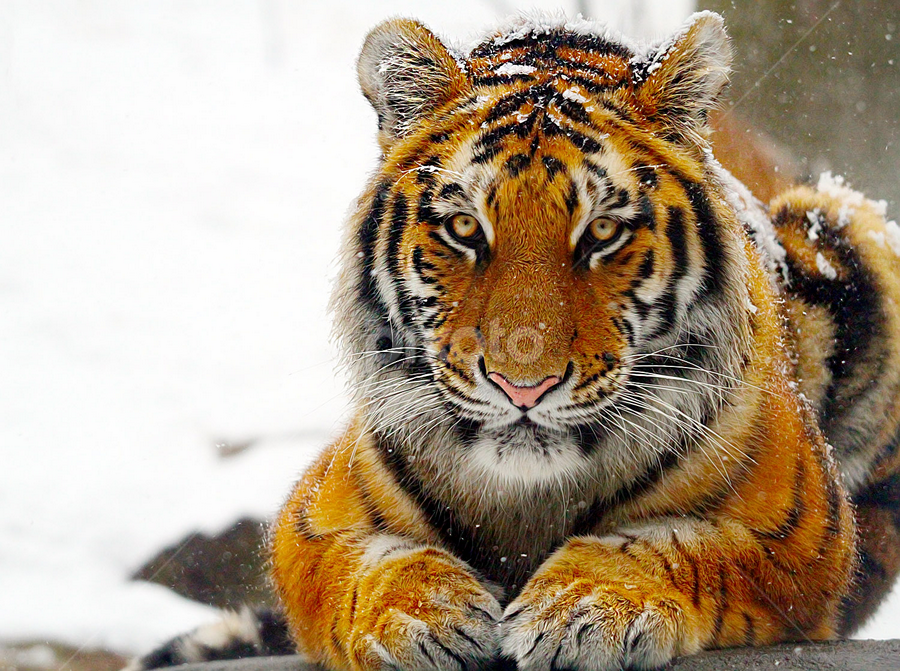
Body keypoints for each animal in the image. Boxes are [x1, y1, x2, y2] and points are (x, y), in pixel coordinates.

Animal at [126, 11, 900, 671]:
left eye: (602, 231)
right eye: (465, 228)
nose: (522, 386)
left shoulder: (803, 539)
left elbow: (685, 542)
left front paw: (584, 606)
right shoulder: (310, 518)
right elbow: (367, 562)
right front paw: (427, 613)